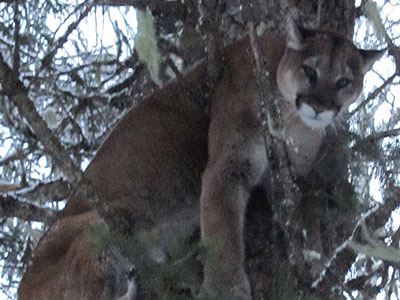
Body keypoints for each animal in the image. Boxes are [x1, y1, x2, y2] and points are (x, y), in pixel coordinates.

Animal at [18, 24, 384, 300]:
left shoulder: (292, 179)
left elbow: (307, 218)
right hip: (100, 220)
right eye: (309, 70)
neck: (293, 124)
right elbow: (223, 234)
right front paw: (227, 289)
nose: (320, 107)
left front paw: (316, 260)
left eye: (344, 82)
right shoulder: (229, 165)